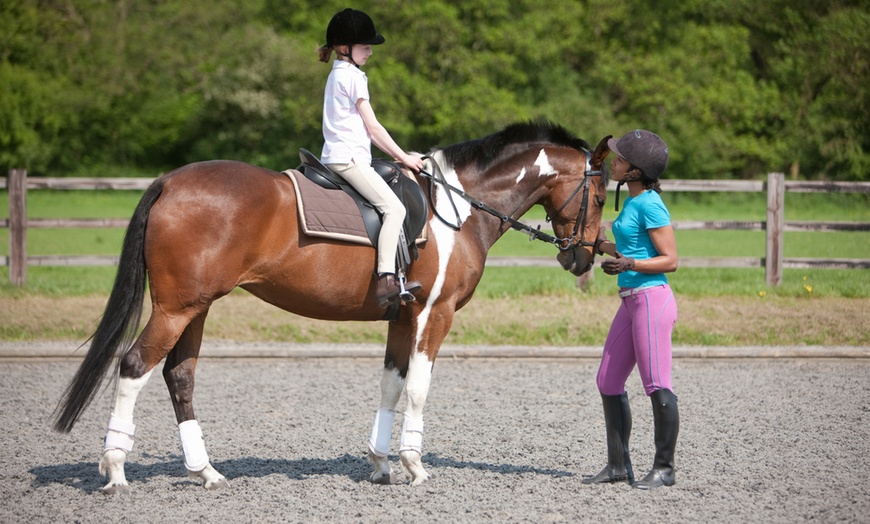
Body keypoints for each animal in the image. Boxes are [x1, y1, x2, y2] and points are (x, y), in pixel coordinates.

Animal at [52, 121, 612, 494]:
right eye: (604, 195)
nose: (583, 257)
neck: (458, 207)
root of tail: (170, 180)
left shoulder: (401, 316)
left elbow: (391, 384)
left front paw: (381, 463)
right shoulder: (435, 313)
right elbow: (419, 388)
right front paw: (413, 465)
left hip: (196, 307)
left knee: (178, 375)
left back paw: (205, 471)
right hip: (176, 308)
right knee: (134, 367)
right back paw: (116, 469)